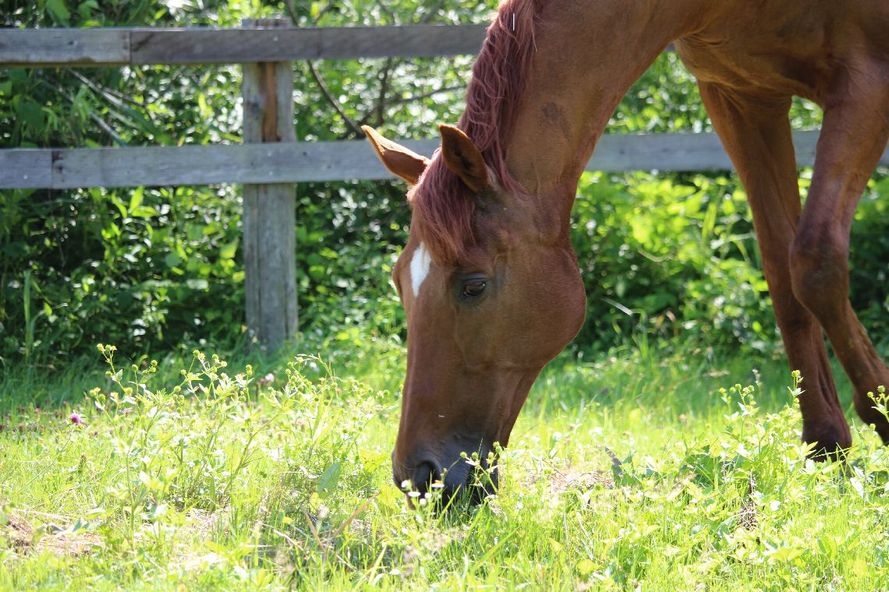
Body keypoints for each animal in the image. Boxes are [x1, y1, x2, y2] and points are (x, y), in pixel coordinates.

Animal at [362, 0, 888, 502]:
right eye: (400, 281)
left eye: (473, 286)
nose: (420, 478)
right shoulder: (743, 98)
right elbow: (782, 268)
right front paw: (826, 443)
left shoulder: (866, 84)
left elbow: (815, 261)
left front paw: (882, 413)